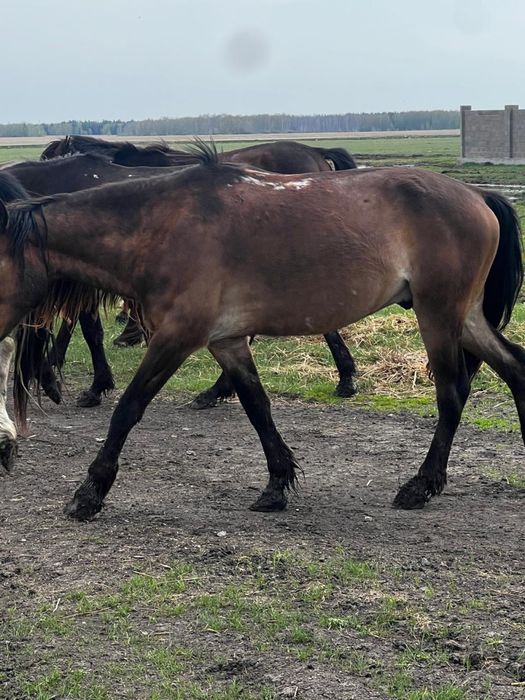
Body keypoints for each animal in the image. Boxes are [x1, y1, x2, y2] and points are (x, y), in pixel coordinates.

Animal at [1, 143, 522, 522]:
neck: (161, 228)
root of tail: (477, 196)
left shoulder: (177, 337)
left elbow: (128, 409)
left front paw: (90, 492)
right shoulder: (226, 341)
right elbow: (257, 408)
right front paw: (276, 484)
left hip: (439, 313)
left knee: (452, 394)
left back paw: (421, 484)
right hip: (466, 316)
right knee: (515, 367)